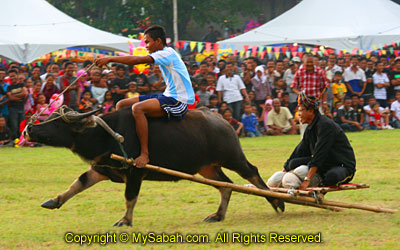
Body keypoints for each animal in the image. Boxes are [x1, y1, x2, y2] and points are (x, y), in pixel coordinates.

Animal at [25, 105, 282, 227]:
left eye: (57, 123)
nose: (29, 129)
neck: (105, 134)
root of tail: (222, 120)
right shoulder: (101, 169)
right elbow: (77, 184)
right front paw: (53, 201)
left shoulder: (134, 172)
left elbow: (130, 198)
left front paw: (125, 221)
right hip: (206, 167)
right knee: (225, 185)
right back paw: (217, 215)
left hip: (233, 158)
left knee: (252, 173)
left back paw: (277, 202)